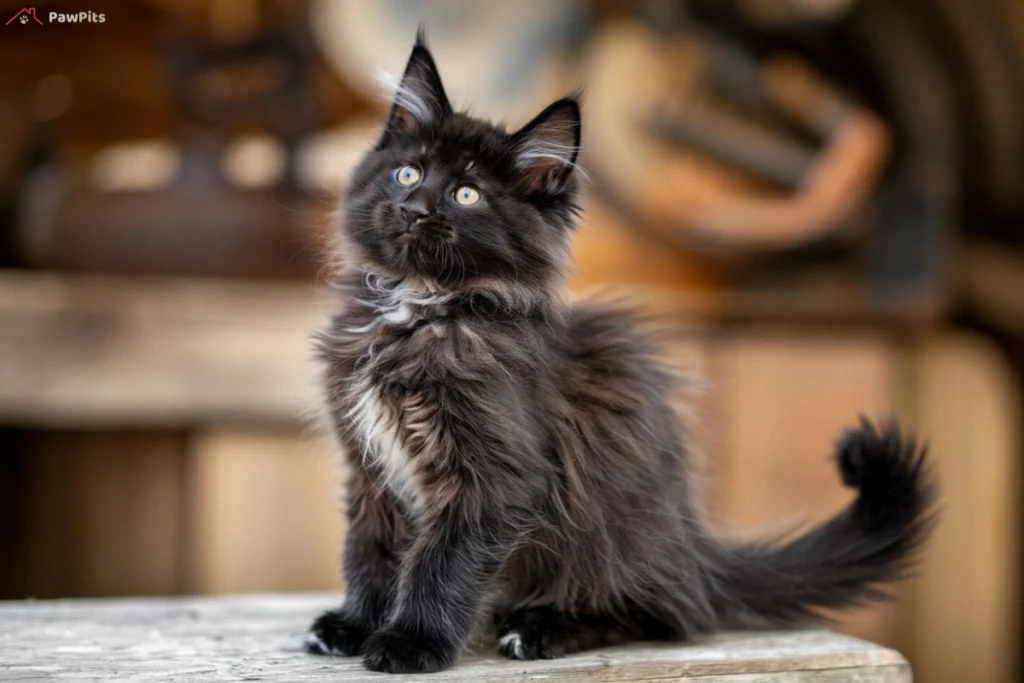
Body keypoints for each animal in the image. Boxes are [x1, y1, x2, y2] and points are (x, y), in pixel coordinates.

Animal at [303, 30, 937, 671]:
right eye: (408, 174)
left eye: (467, 194)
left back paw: (542, 628)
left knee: (655, 614)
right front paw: (355, 626)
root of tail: (696, 553)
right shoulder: (369, 468)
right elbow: (371, 551)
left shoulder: (495, 476)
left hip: (603, 530)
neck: (417, 309)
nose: (414, 210)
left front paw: (412, 642)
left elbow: (440, 562)